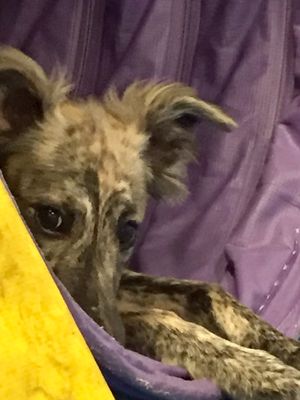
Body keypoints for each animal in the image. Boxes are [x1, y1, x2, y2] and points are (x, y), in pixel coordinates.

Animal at [0, 46, 300, 396]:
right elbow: (161, 318)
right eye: (51, 217)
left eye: (128, 230)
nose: (108, 336)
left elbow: (208, 290)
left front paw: (286, 348)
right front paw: (264, 372)